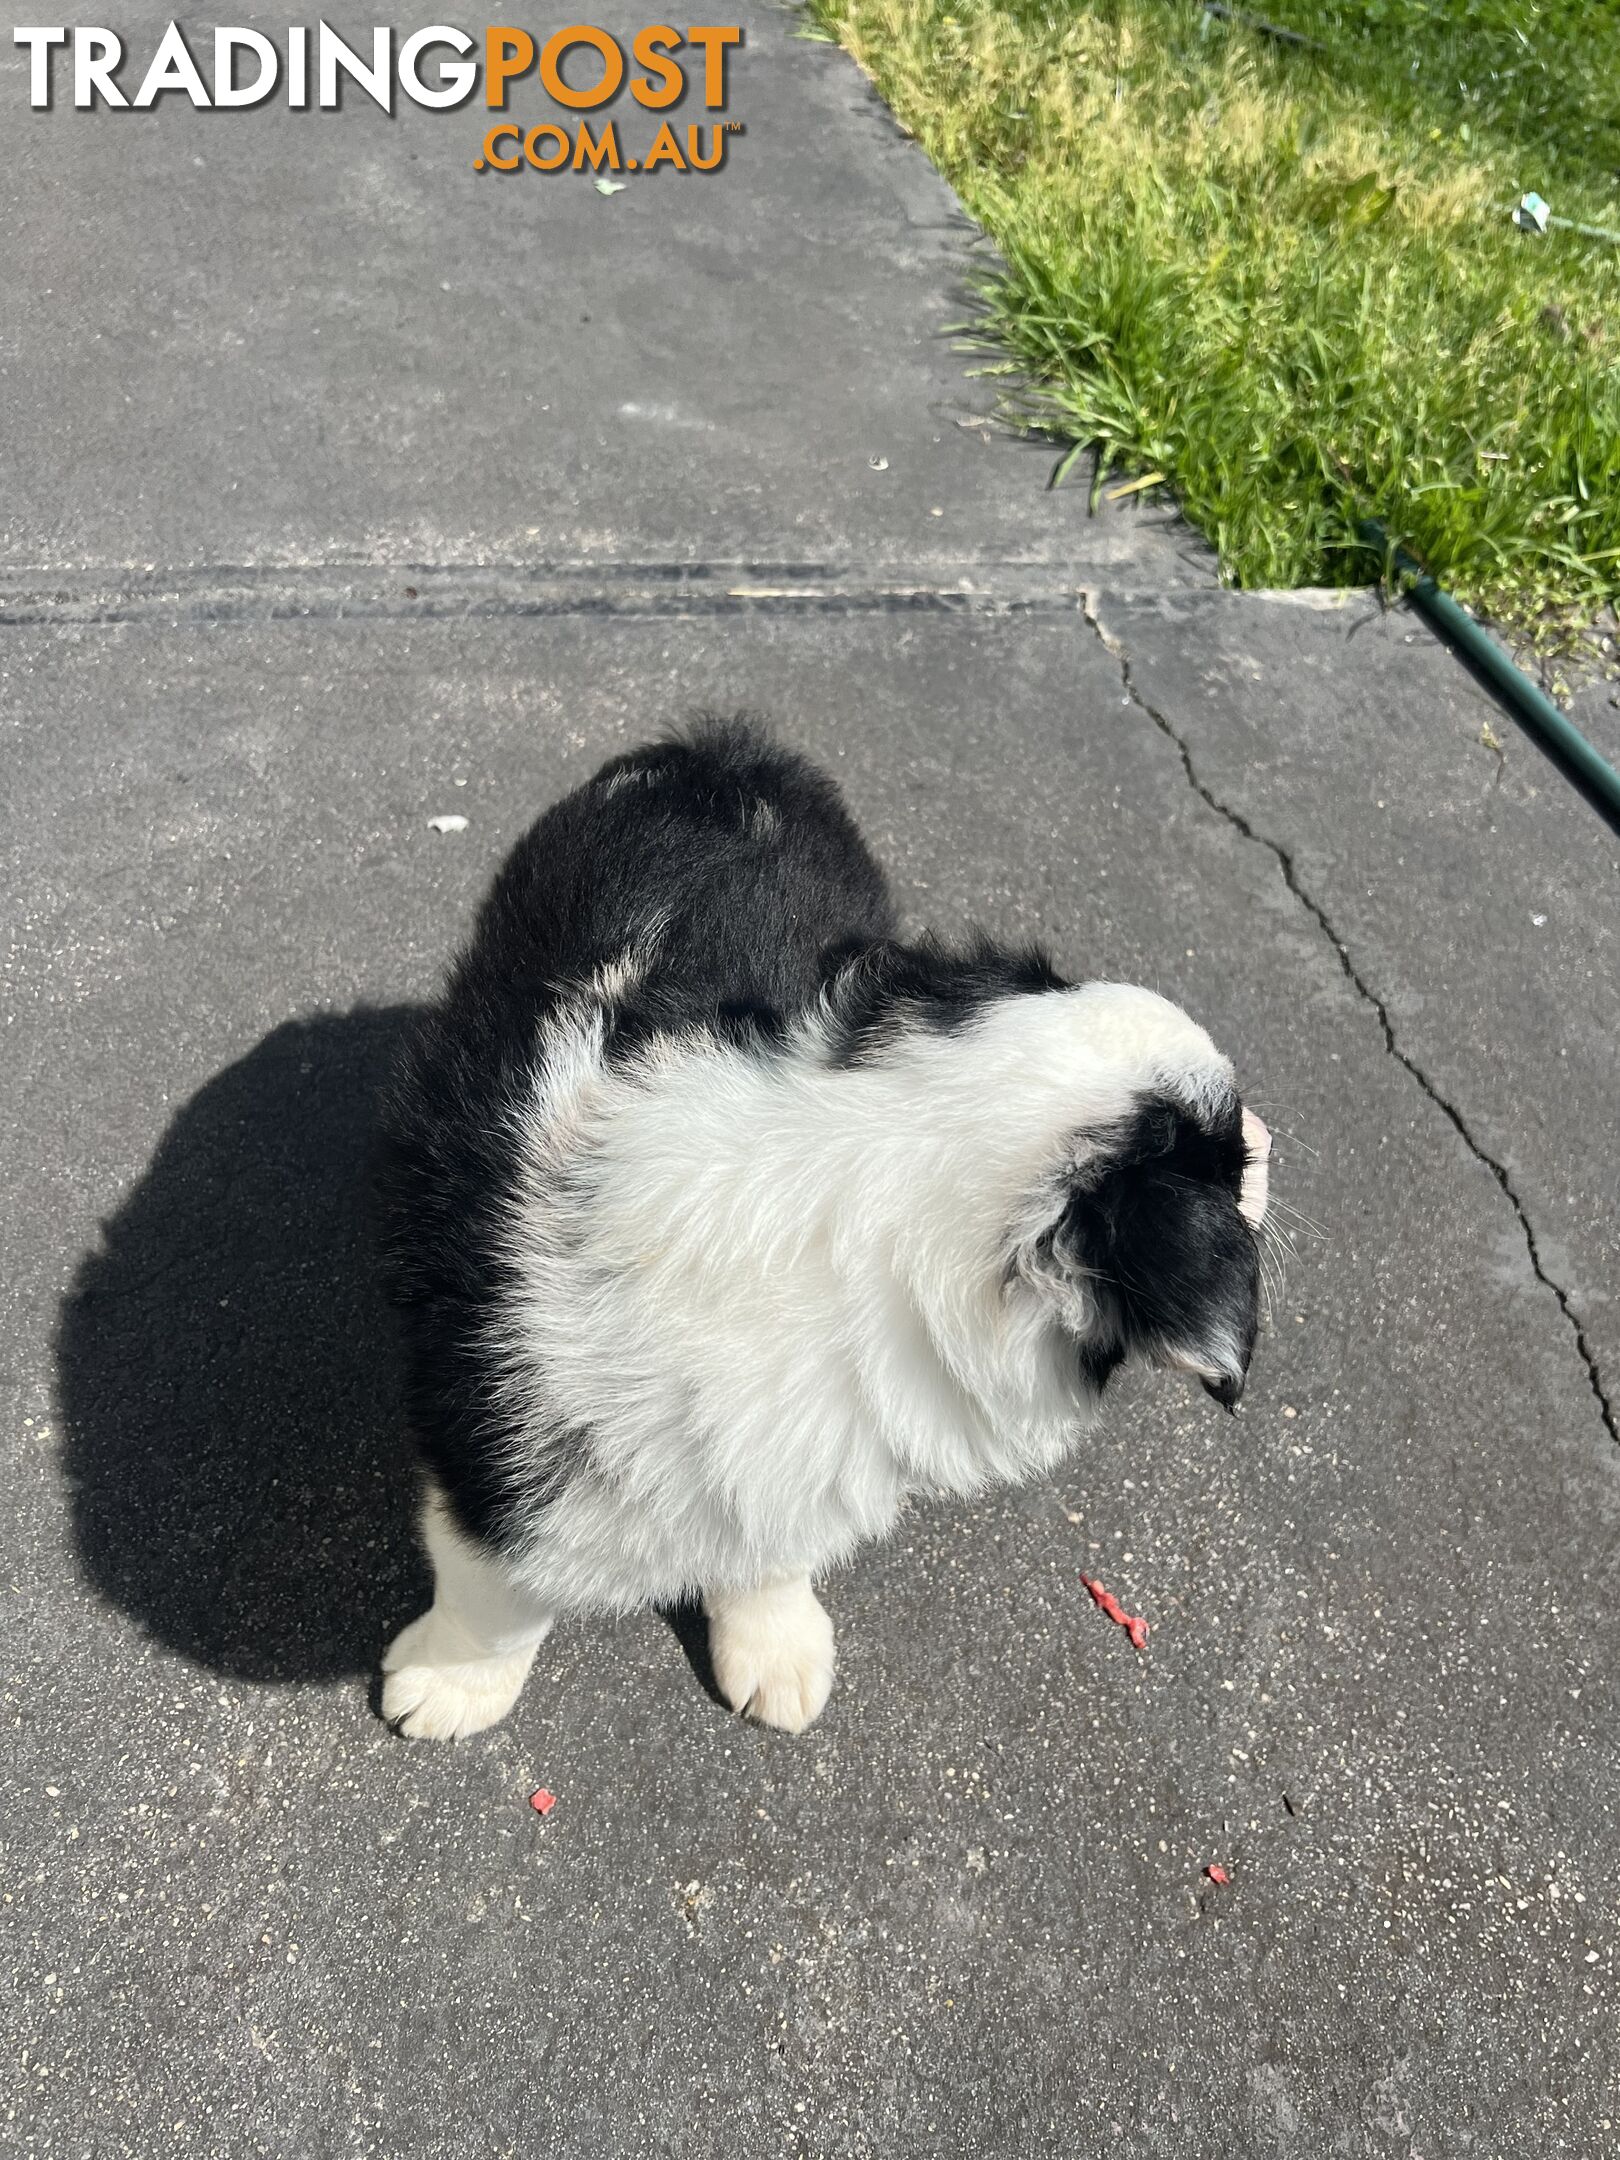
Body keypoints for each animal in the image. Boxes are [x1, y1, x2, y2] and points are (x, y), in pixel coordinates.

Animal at [373, 721, 1278, 1736]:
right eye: (1227, 1161)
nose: (1269, 1134)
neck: (888, 1167)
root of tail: (720, 750)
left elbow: (768, 1548)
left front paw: (773, 1647)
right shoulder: (489, 1431)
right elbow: (495, 1593)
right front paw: (451, 1684)